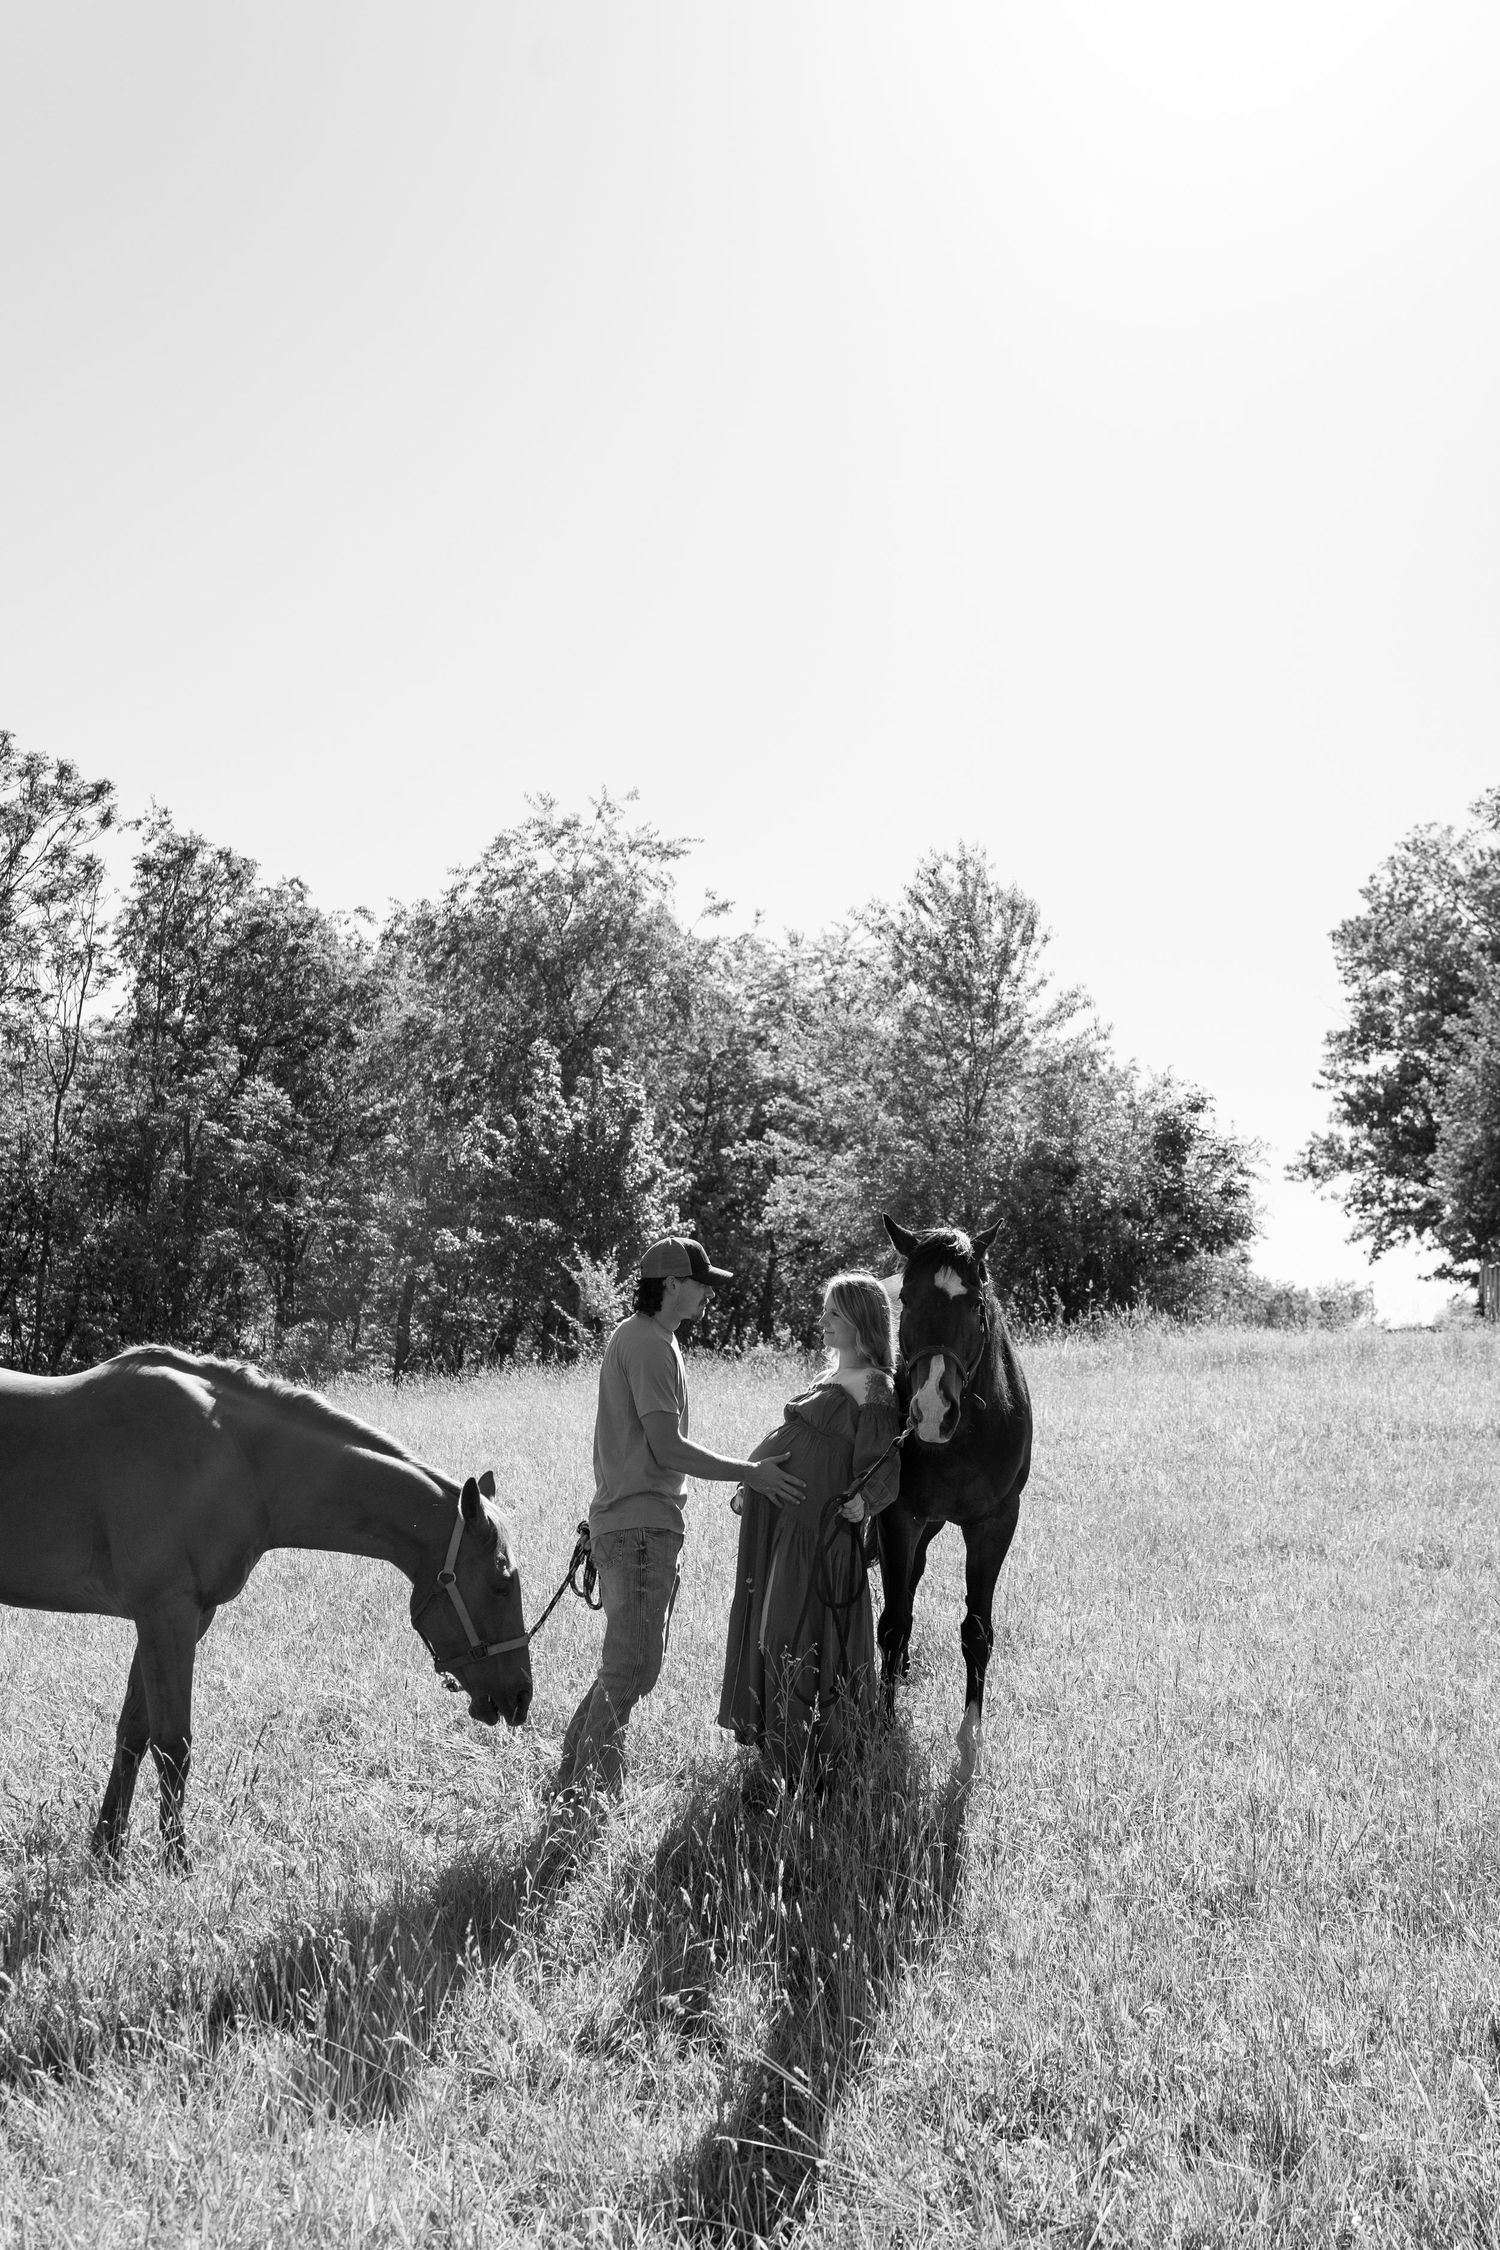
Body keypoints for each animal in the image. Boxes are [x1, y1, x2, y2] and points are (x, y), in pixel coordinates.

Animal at [0, 1346, 533, 1867]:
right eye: (502, 1583)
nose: (520, 1697)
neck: (237, 1461)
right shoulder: (166, 1616)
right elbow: (173, 1745)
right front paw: (177, 1865)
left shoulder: (176, 1621)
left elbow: (132, 1734)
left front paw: (108, 1851)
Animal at [874, 1215, 1032, 1782]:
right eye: (908, 1298)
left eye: (974, 1303)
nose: (931, 1411)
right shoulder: (898, 1516)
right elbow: (893, 1621)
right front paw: (883, 1725)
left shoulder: (994, 1523)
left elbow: (977, 1632)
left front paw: (970, 1744)